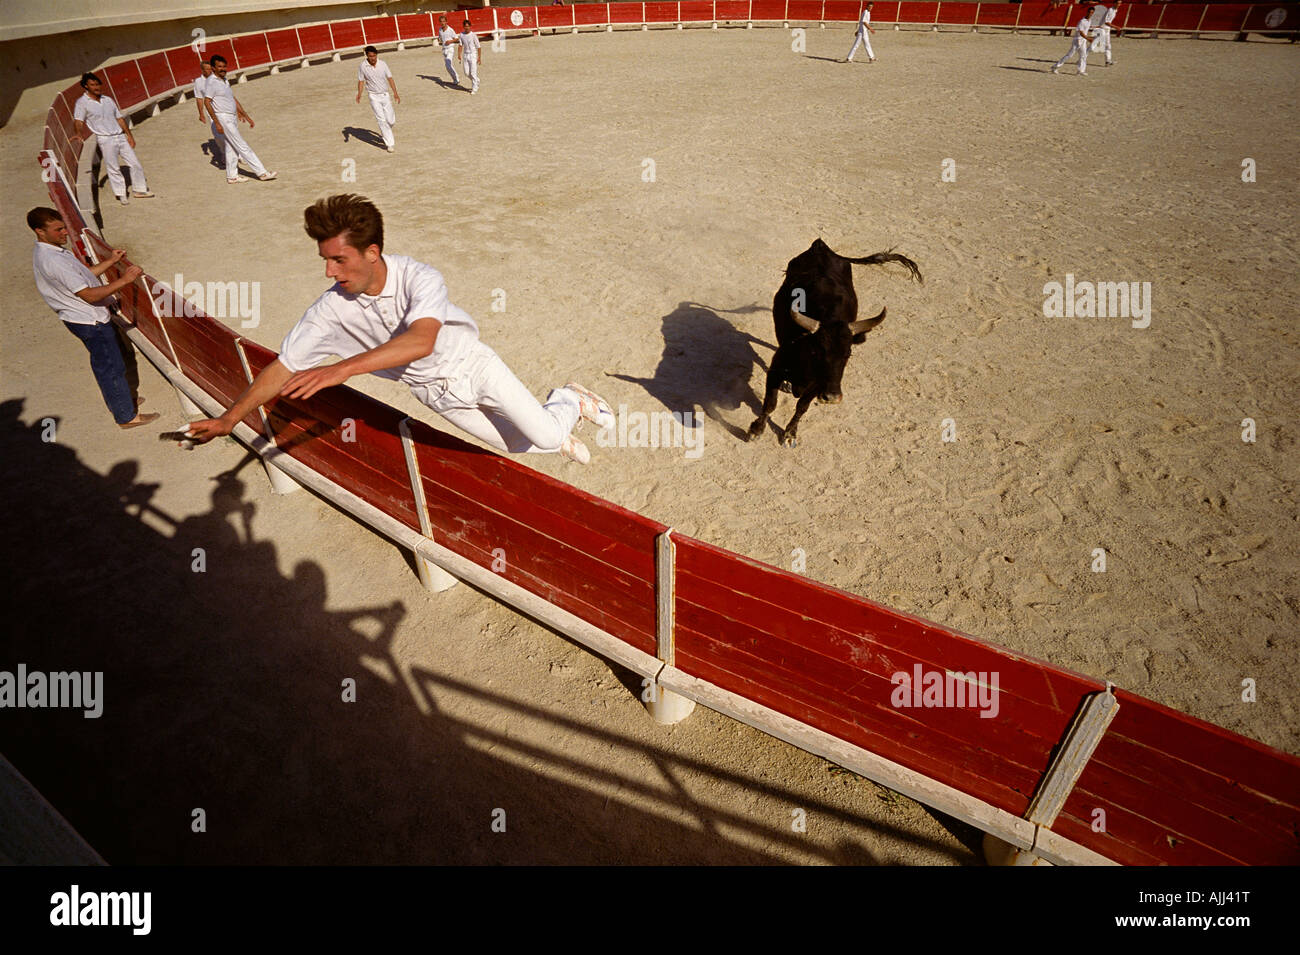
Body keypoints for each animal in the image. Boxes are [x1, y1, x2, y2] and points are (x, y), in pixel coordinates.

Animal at [748, 239, 920, 446]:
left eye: (848, 354)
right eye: (816, 351)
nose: (831, 397)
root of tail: (821, 245)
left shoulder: (817, 385)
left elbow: (802, 406)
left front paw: (790, 433)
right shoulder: (776, 370)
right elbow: (770, 404)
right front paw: (756, 430)